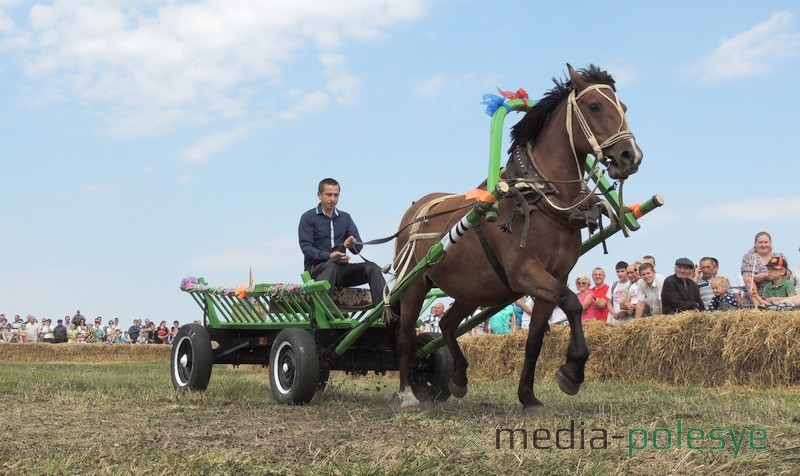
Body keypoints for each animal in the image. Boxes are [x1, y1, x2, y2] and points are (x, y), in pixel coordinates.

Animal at [392, 65, 644, 414]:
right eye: (594, 106)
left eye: (624, 108)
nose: (630, 156)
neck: (539, 197)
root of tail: (415, 209)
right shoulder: (525, 273)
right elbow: (572, 303)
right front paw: (572, 371)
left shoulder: (555, 276)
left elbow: (535, 339)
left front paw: (528, 395)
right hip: (414, 285)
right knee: (405, 337)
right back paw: (407, 393)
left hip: (472, 289)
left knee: (446, 326)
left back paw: (458, 377)